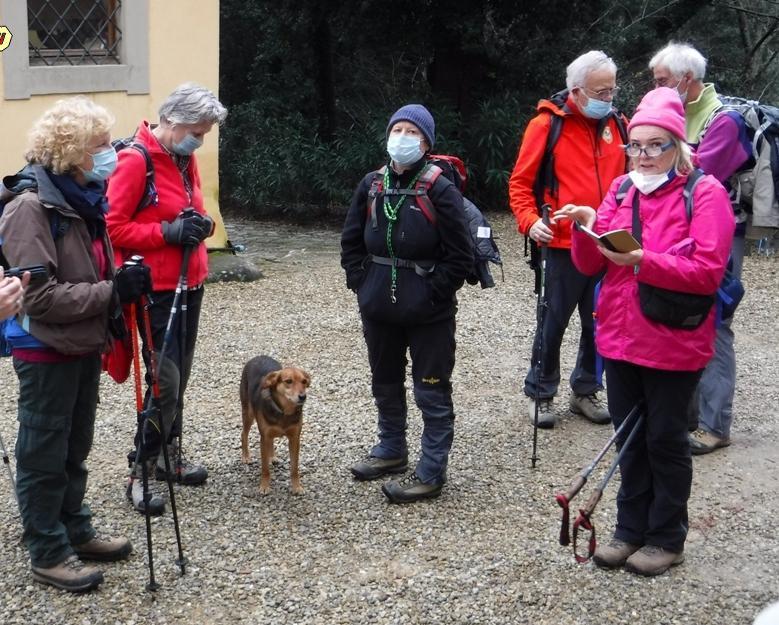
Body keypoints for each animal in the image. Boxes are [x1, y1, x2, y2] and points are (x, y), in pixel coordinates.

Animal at [239, 356, 312, 492]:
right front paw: (264, 486)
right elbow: (265, 468)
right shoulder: (264, 437)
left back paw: (272, 457)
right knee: (243, 434)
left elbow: (294, 468)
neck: (284, 412)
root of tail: (259, 356)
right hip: (248, 413)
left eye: (304, 381)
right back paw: (246, 456)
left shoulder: (295, 439)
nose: (303, 397)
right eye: (288, 381)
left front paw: (297, 487)